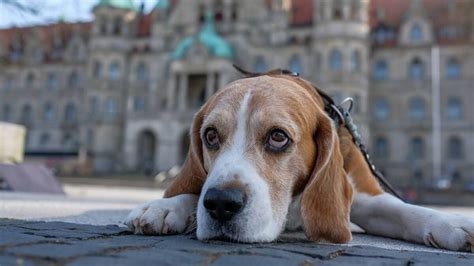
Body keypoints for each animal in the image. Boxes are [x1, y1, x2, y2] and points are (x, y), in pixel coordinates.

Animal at [125, 70, 474, 251]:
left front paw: (454, 223)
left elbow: (406, 211)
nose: (222, 203)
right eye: (210, 136)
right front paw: (164, 206)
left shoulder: (365, 196)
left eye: (278, 137)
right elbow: (194, 191)